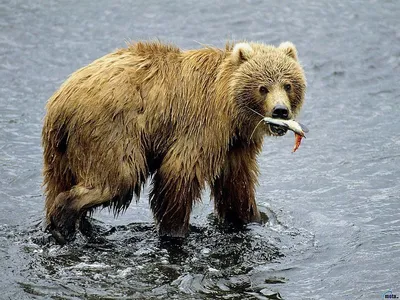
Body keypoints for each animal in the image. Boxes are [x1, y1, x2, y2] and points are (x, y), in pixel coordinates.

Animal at [42, 39, 306, 244]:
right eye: (263, 88)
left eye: (287, 84)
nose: (280, 111)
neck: (230, 110)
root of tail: (59, 101)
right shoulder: (202, 125)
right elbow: (179, 173)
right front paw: (175, 231)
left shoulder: (235, 144)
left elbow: (236, 184)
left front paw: (253, 217)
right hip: (111, 132)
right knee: (118, 178)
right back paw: (63, 224)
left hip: (61, 150)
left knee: (59, 182)